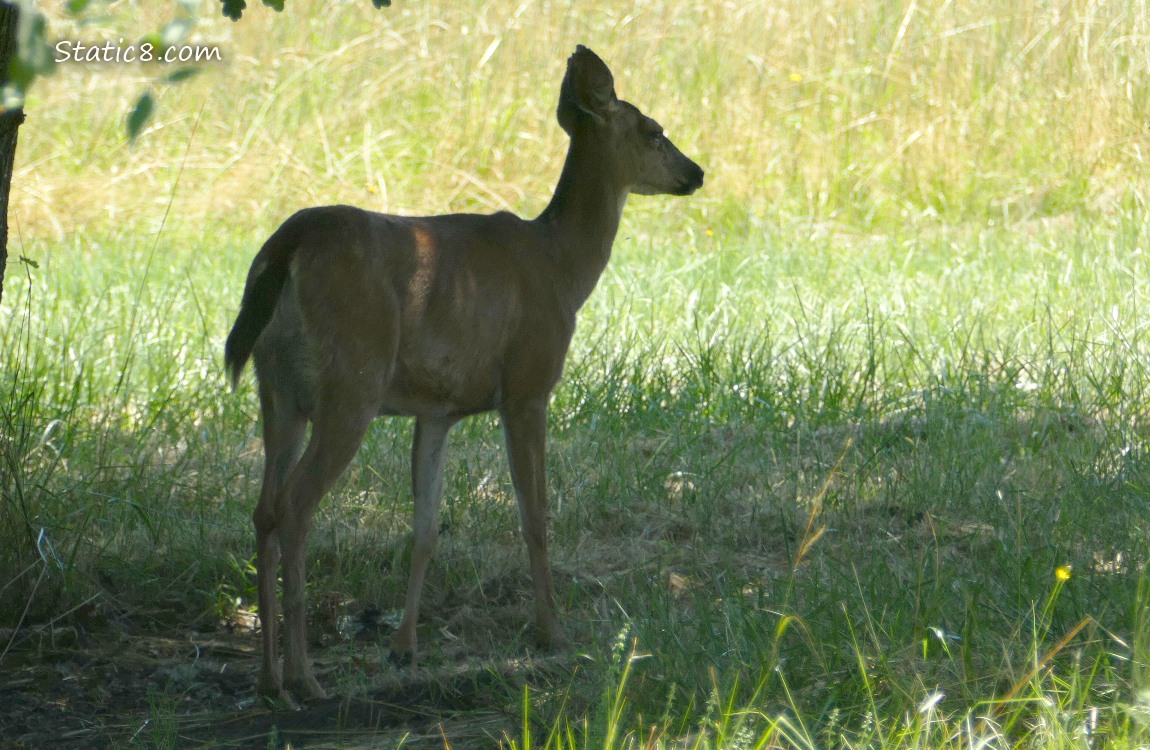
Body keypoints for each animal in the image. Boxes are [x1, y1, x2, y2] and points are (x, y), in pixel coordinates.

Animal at [224, 45, 704, 704]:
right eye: (654, 130)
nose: (696, 173)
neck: (561, 267)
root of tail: (284, 247)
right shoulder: (528, 383)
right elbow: (535, 513)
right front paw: (552, 632)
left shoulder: (437, 409)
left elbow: (425, 528)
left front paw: (404, 647)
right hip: (352, 380)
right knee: (295, 506)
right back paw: (305, 677)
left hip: (277, 391)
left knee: (263, 508)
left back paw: (269, 677)